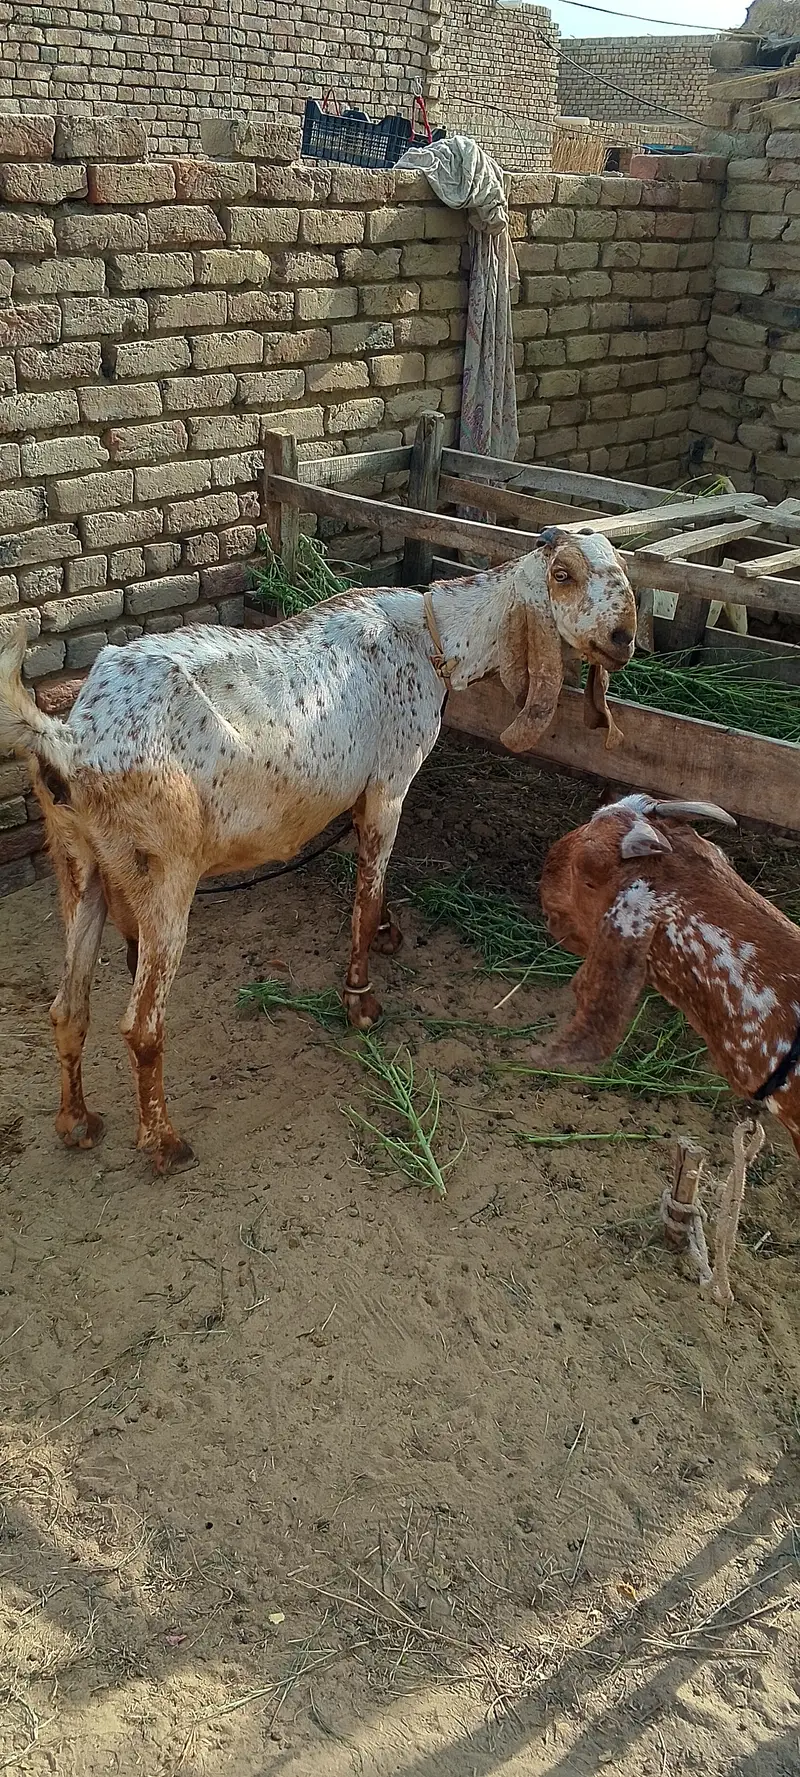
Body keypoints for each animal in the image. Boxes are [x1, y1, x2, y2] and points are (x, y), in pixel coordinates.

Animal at [0, 527, 635, 1173]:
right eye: (563, 575)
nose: (622, 639)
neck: (430, 637)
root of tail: (73, 737)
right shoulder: (390, 784)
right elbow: (366, 892)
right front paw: (362, 1003)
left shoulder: (359, 793)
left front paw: (389, 935)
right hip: (166, 873)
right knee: (142, 1024)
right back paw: (166, 1144)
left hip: (79, 862)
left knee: (67, 1006)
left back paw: (77, 1123)